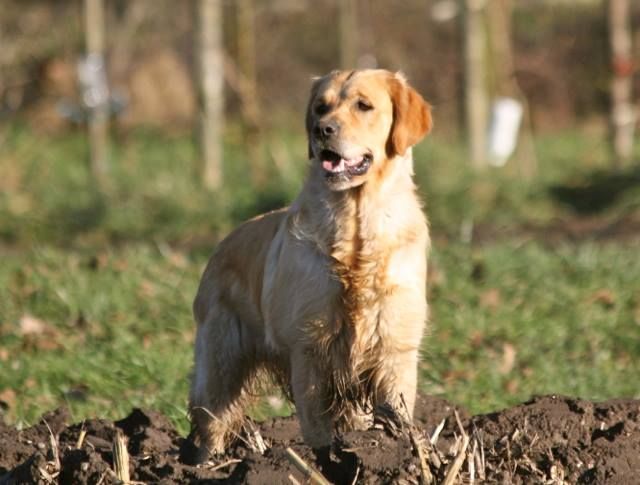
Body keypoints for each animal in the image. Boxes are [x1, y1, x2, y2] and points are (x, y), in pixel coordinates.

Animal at [188, 68, 432, 458]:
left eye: (364, 105)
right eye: (321, 107)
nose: (323, 130)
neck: (356, 229)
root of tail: (221, 244)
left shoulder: (395, 349)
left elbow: (397, 412)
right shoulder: (310, 351)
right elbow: (317, 428)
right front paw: (324, 461)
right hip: (220, 364)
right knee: (212, 422)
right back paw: (204, 464)